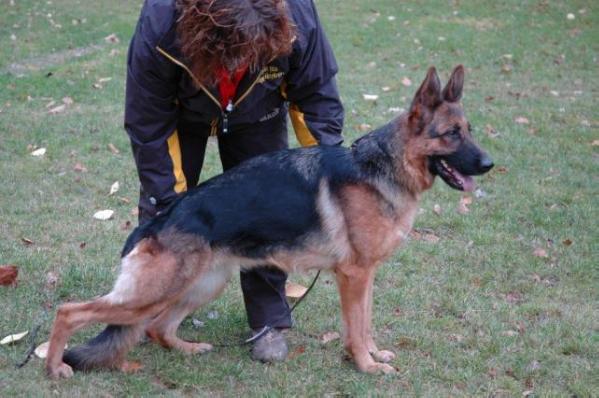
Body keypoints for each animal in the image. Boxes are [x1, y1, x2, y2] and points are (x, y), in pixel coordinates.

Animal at [47, 66, 494, 380]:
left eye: (469, 130)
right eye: (451, 134)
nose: (490, 164)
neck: (380, 167)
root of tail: (155, 223)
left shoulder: (366, 276)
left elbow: (365, 324)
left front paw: (372, 355)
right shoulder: (354, 276)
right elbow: (356, 327)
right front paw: (366, 366)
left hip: (202, 284)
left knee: (158, 327)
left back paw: (187, 348)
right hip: (153, 293)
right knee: (70, 311)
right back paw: (55, 367)